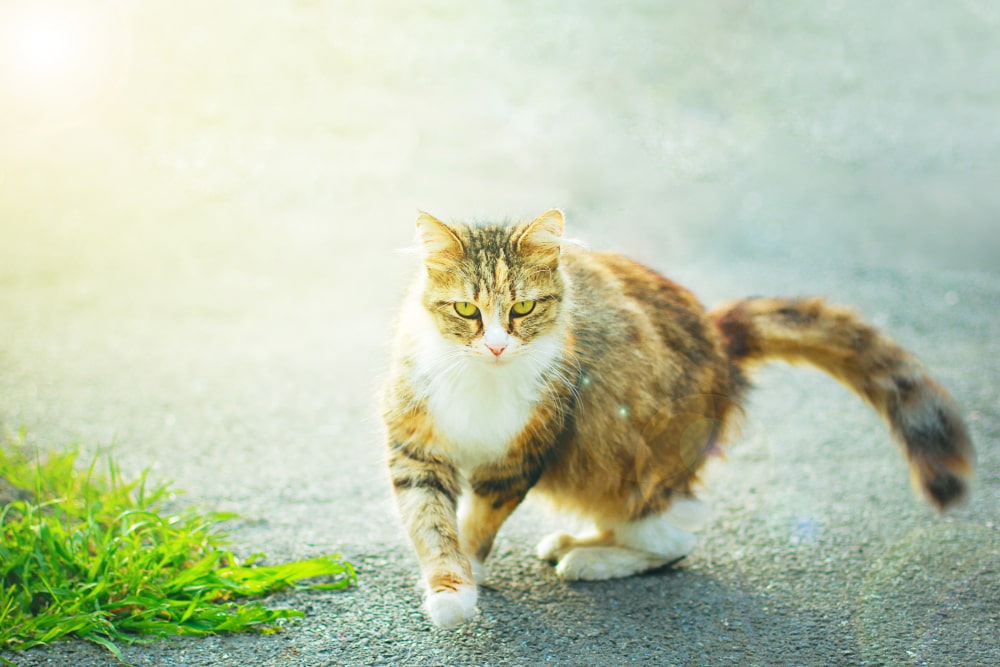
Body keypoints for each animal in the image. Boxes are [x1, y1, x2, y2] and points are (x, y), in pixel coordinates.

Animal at [378, 210, 972, 632]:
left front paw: (467, 576)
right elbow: (432, 524)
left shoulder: (522, 457)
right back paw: (578, 542)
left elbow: (477, 523)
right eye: (467, 311)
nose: (498, 346)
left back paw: (592, 559)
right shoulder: (417, 451)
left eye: (522, 309)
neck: (480, 380)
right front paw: (450, 587)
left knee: (675, 537)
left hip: (613, 457)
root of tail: (717, 332)